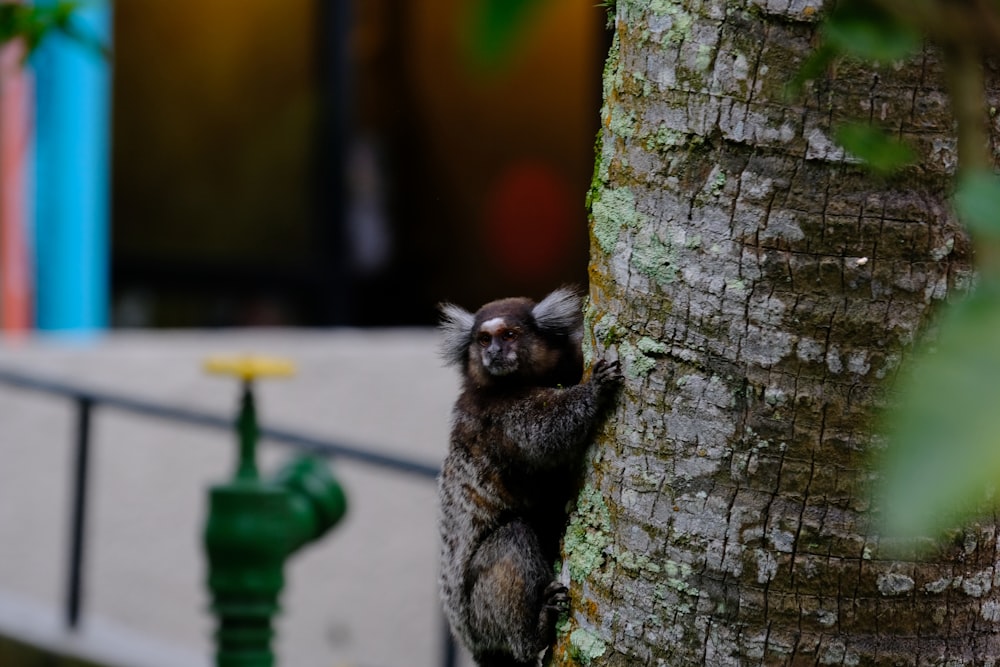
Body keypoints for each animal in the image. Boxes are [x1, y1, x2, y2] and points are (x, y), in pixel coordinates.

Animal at [436, 290, 616, 667]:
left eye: (508, 335)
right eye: (483, 339)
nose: (493, 352)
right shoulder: (494, 416)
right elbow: (546, 431)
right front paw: (593, 390)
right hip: (480, 618)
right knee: (512, 538)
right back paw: (534, 633)